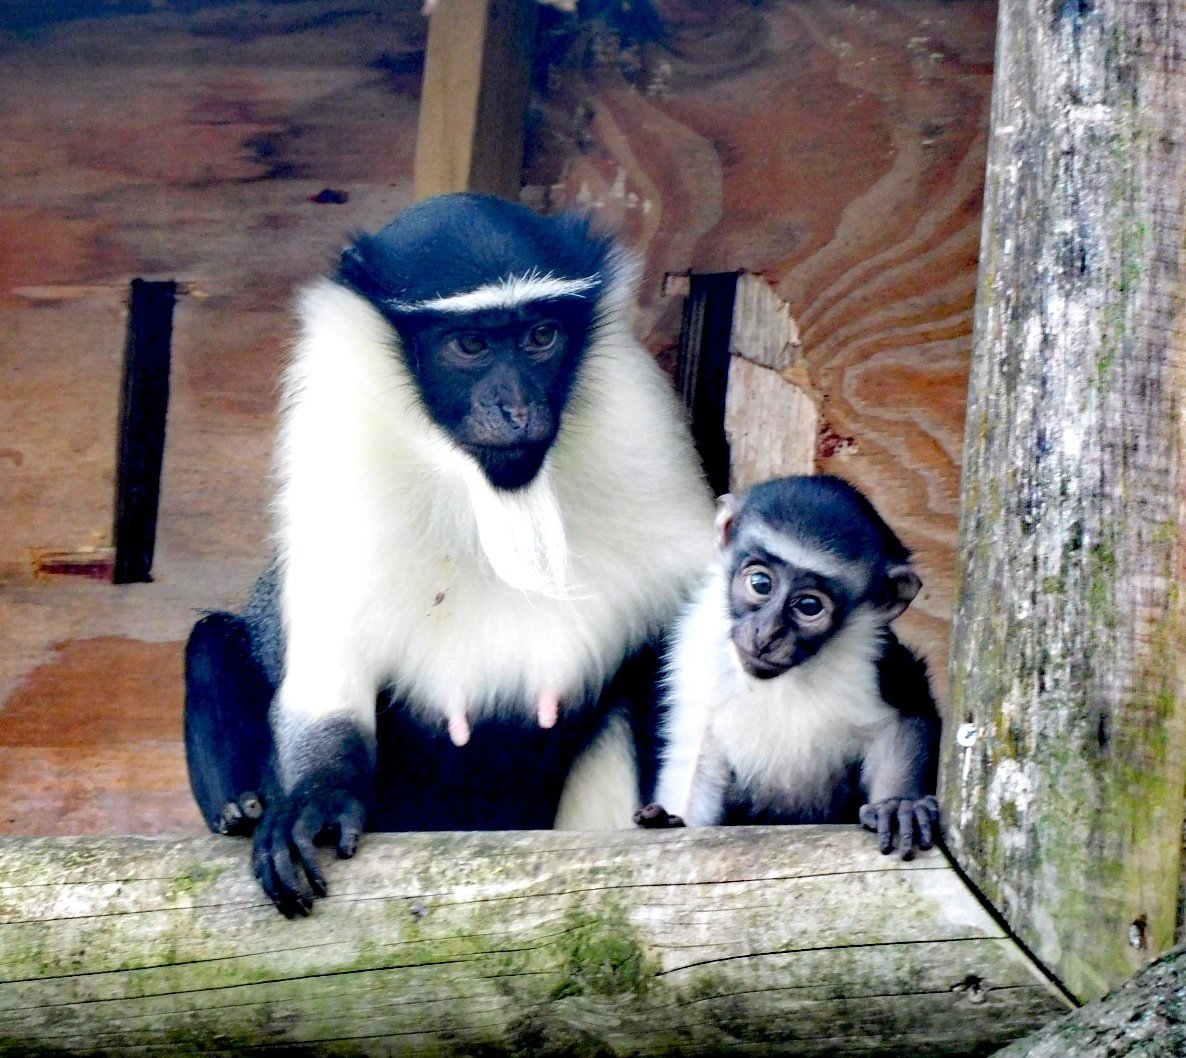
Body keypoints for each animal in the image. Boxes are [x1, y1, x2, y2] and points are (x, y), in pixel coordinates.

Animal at [184, 193, 716, 916]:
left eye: (541, 336)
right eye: (470, 344)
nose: (517, 407)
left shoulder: (645, 444)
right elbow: (329, 680)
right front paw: (317, 802)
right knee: (209, 640)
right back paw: (241, 810)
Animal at [635, 474, 941, 859]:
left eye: (809, 606)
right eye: (760, 583)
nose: (767, 633)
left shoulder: (875, 661)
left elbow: (901, 723)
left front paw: (898, 805)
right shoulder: (696, 652)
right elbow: (698, 755)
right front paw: (667, 820)